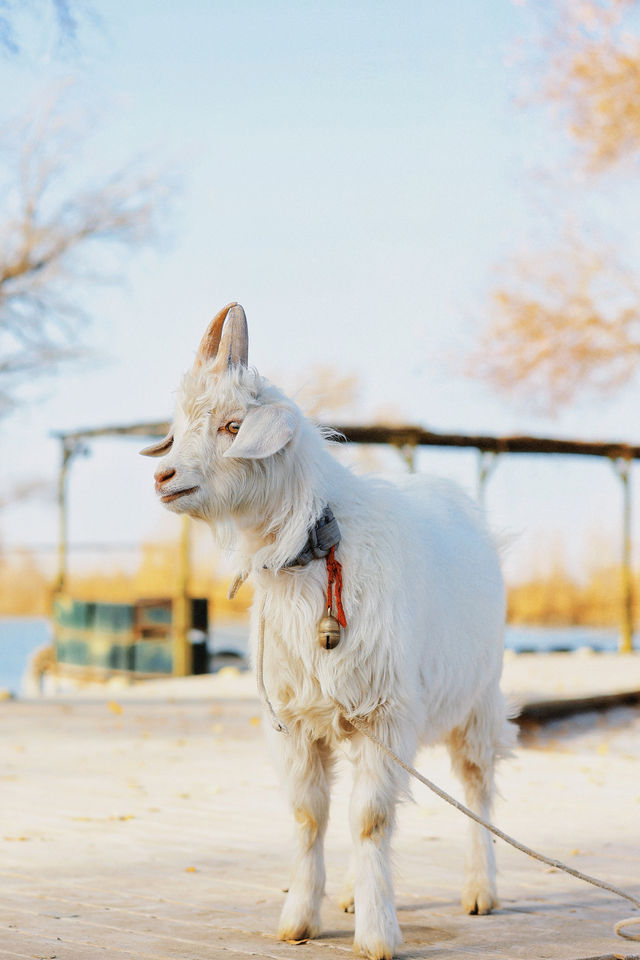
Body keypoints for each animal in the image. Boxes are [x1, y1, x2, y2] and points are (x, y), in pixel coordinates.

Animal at [144, 302, 516, 960]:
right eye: (180, 424)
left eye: (233, 425)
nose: (165, 477)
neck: (318, 548)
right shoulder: (296, 720)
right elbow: (310, 817)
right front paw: (300, 918)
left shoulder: (386, 712)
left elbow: (369, 819)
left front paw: (378, 934)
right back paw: (349, 891)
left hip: (477, 698)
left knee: (477, 788)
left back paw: (479, 890)